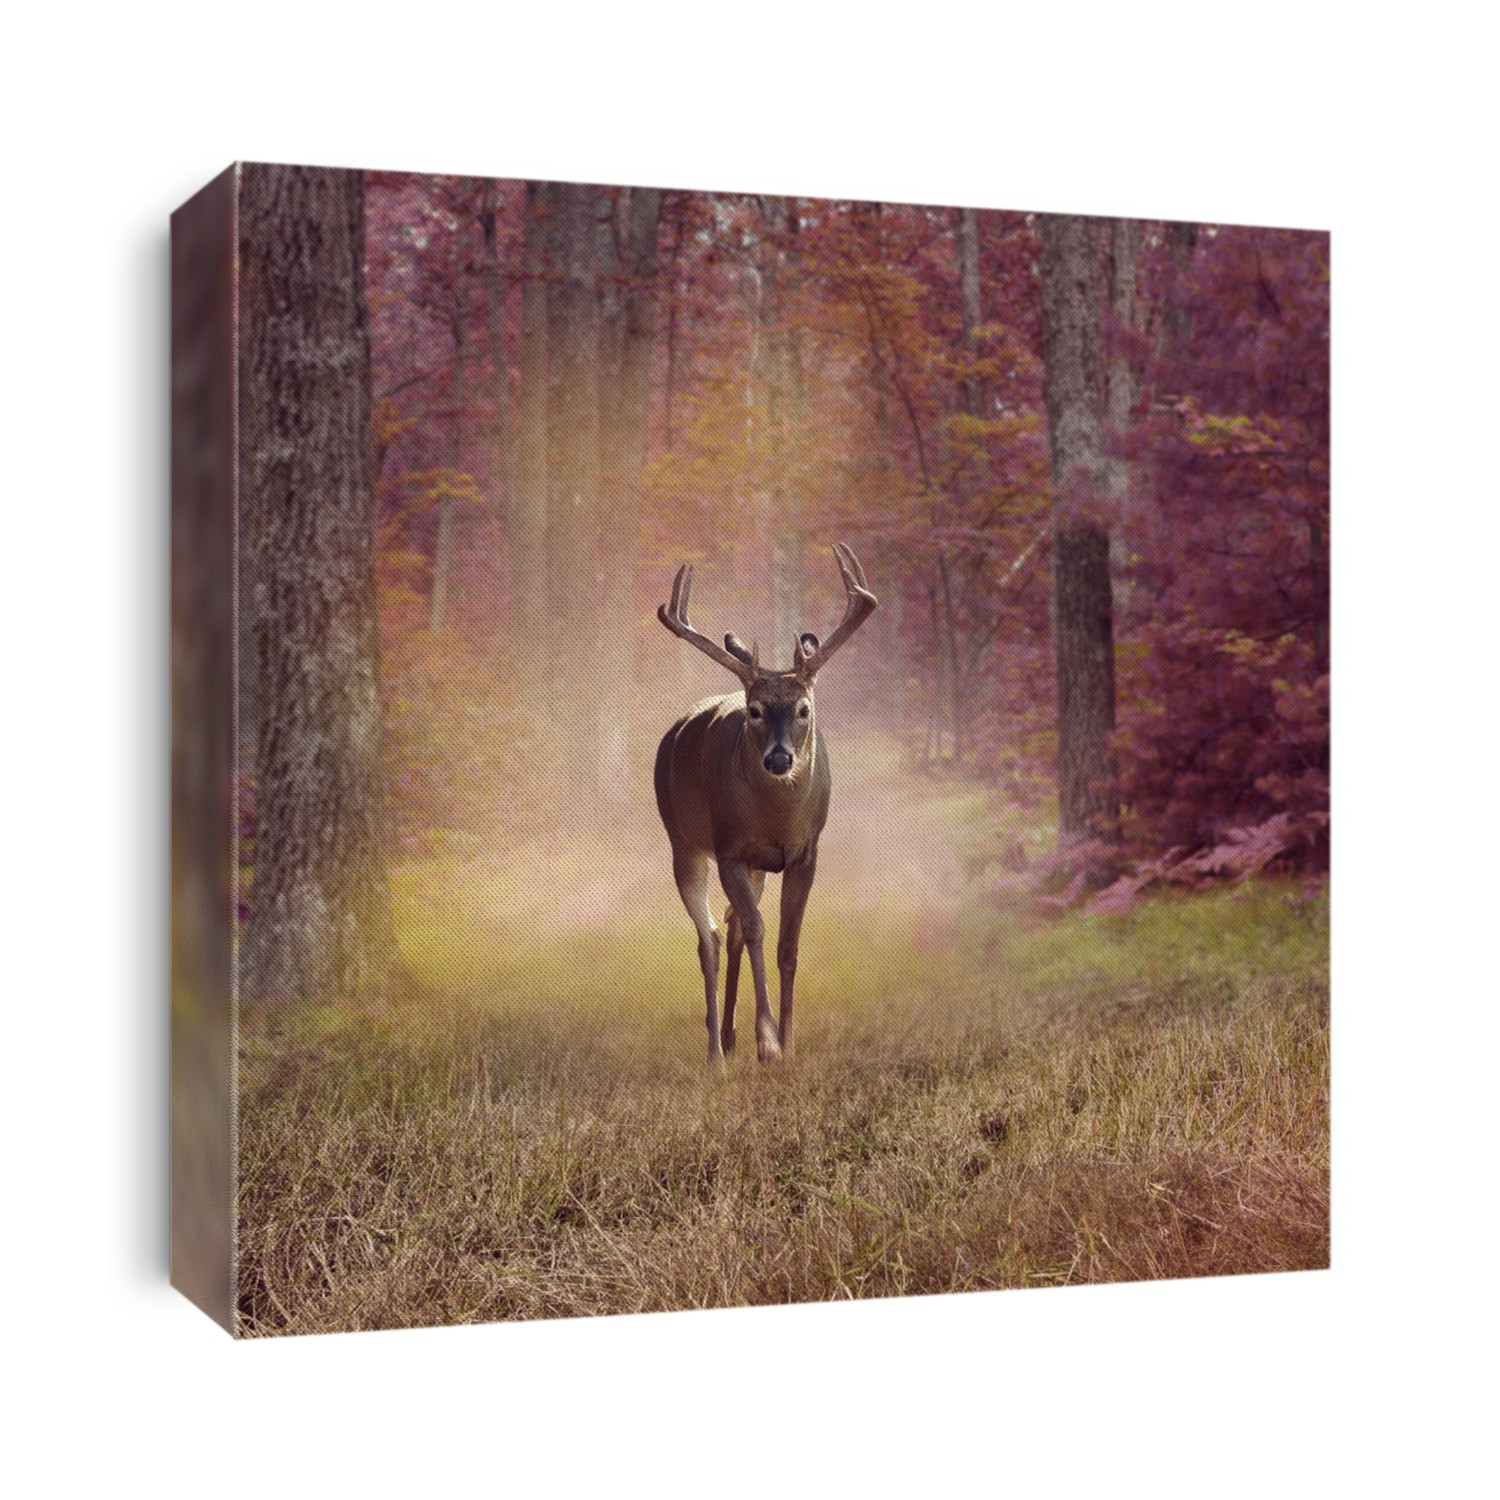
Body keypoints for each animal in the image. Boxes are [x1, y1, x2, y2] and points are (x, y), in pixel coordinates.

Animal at [654, 542, 877, 1066]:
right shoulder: (731, 849)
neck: (777, 819)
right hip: (683, 841)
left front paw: (787, 1042)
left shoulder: (805, 853)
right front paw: (769, 1041)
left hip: (754, 866)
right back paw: (717, 1053)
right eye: (754, 711)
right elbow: (757, 932)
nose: (778, 759)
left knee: (730, 926)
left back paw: (732, 1036)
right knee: (710, 939)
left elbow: (786, 944)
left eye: (803, 708)